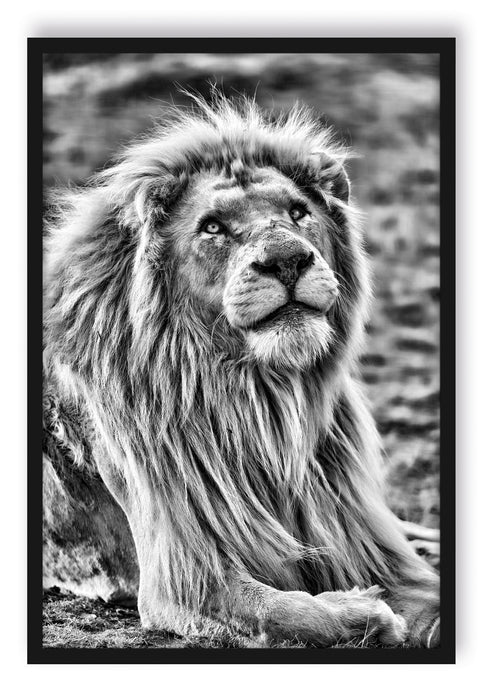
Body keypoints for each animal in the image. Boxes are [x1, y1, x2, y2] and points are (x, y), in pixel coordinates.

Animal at [42, 93, 440, 647]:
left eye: (298, 212)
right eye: (212, 227)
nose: (287, 259)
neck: (260, 399)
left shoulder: (372, 550)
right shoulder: (189, 581)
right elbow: (287, 612)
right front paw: (367, 614)